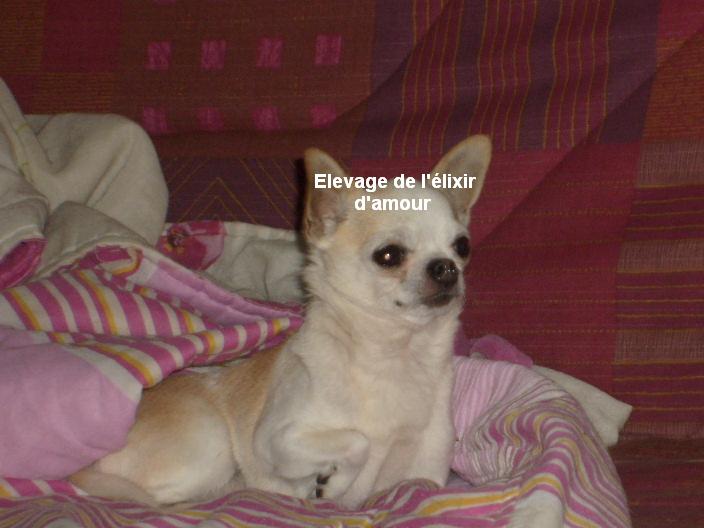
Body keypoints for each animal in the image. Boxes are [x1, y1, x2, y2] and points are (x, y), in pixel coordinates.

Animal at [69, 135, 491, 509]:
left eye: (462, 247)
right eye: (389, 255)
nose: (446, 267)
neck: (395, 356)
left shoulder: (426, 473)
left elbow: (409, 477)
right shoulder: (274, 440)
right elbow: (358, 440)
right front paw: (332, 484)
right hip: (212, 443)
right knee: (155, 497)